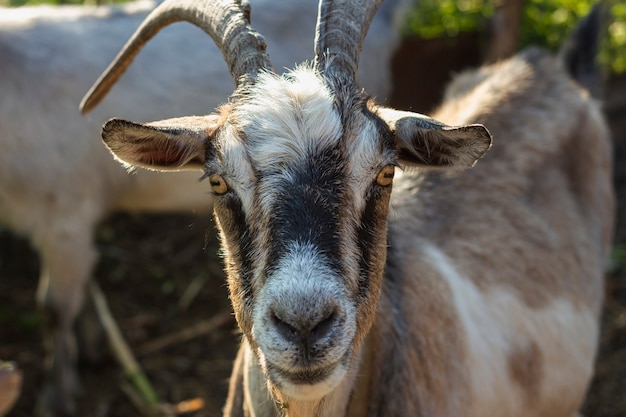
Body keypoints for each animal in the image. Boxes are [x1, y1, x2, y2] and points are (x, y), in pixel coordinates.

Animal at [0, 1, 408, 414]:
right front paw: (91, 345)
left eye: (386, 173)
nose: (304, 324)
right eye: (218, 181)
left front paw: (57, 395)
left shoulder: (63, 214)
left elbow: (54, 306)